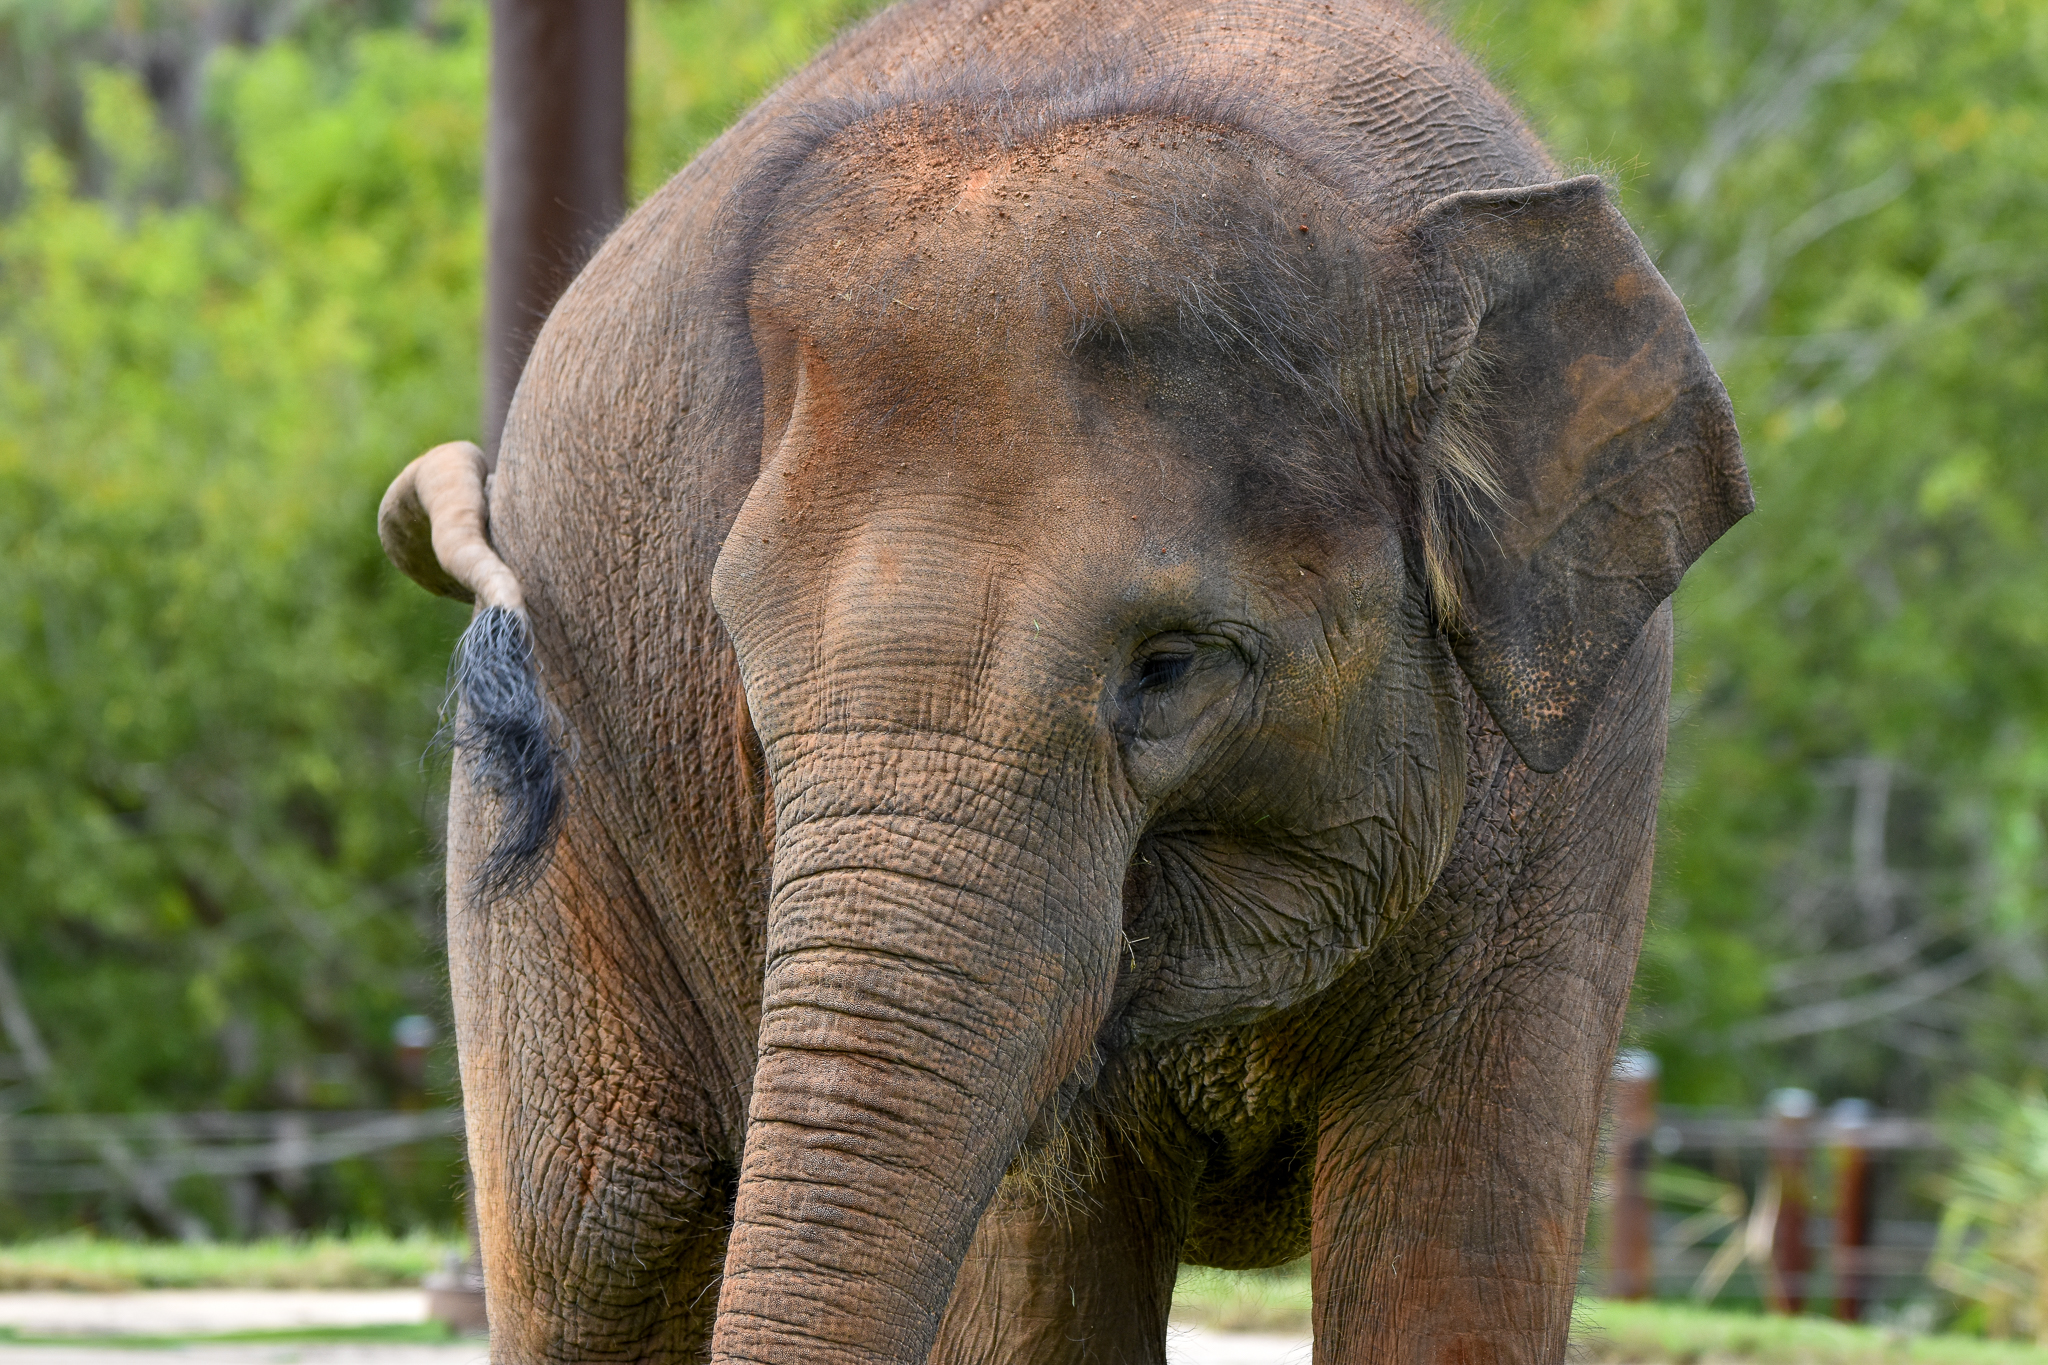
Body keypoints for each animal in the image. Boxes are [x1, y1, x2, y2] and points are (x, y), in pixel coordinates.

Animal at [378, 0, 1750, 1359]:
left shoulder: (1564, 794)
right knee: (595, 1244)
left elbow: (1456, 1263)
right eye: (750, 717)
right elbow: (1034, 1279)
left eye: (1168, 668)